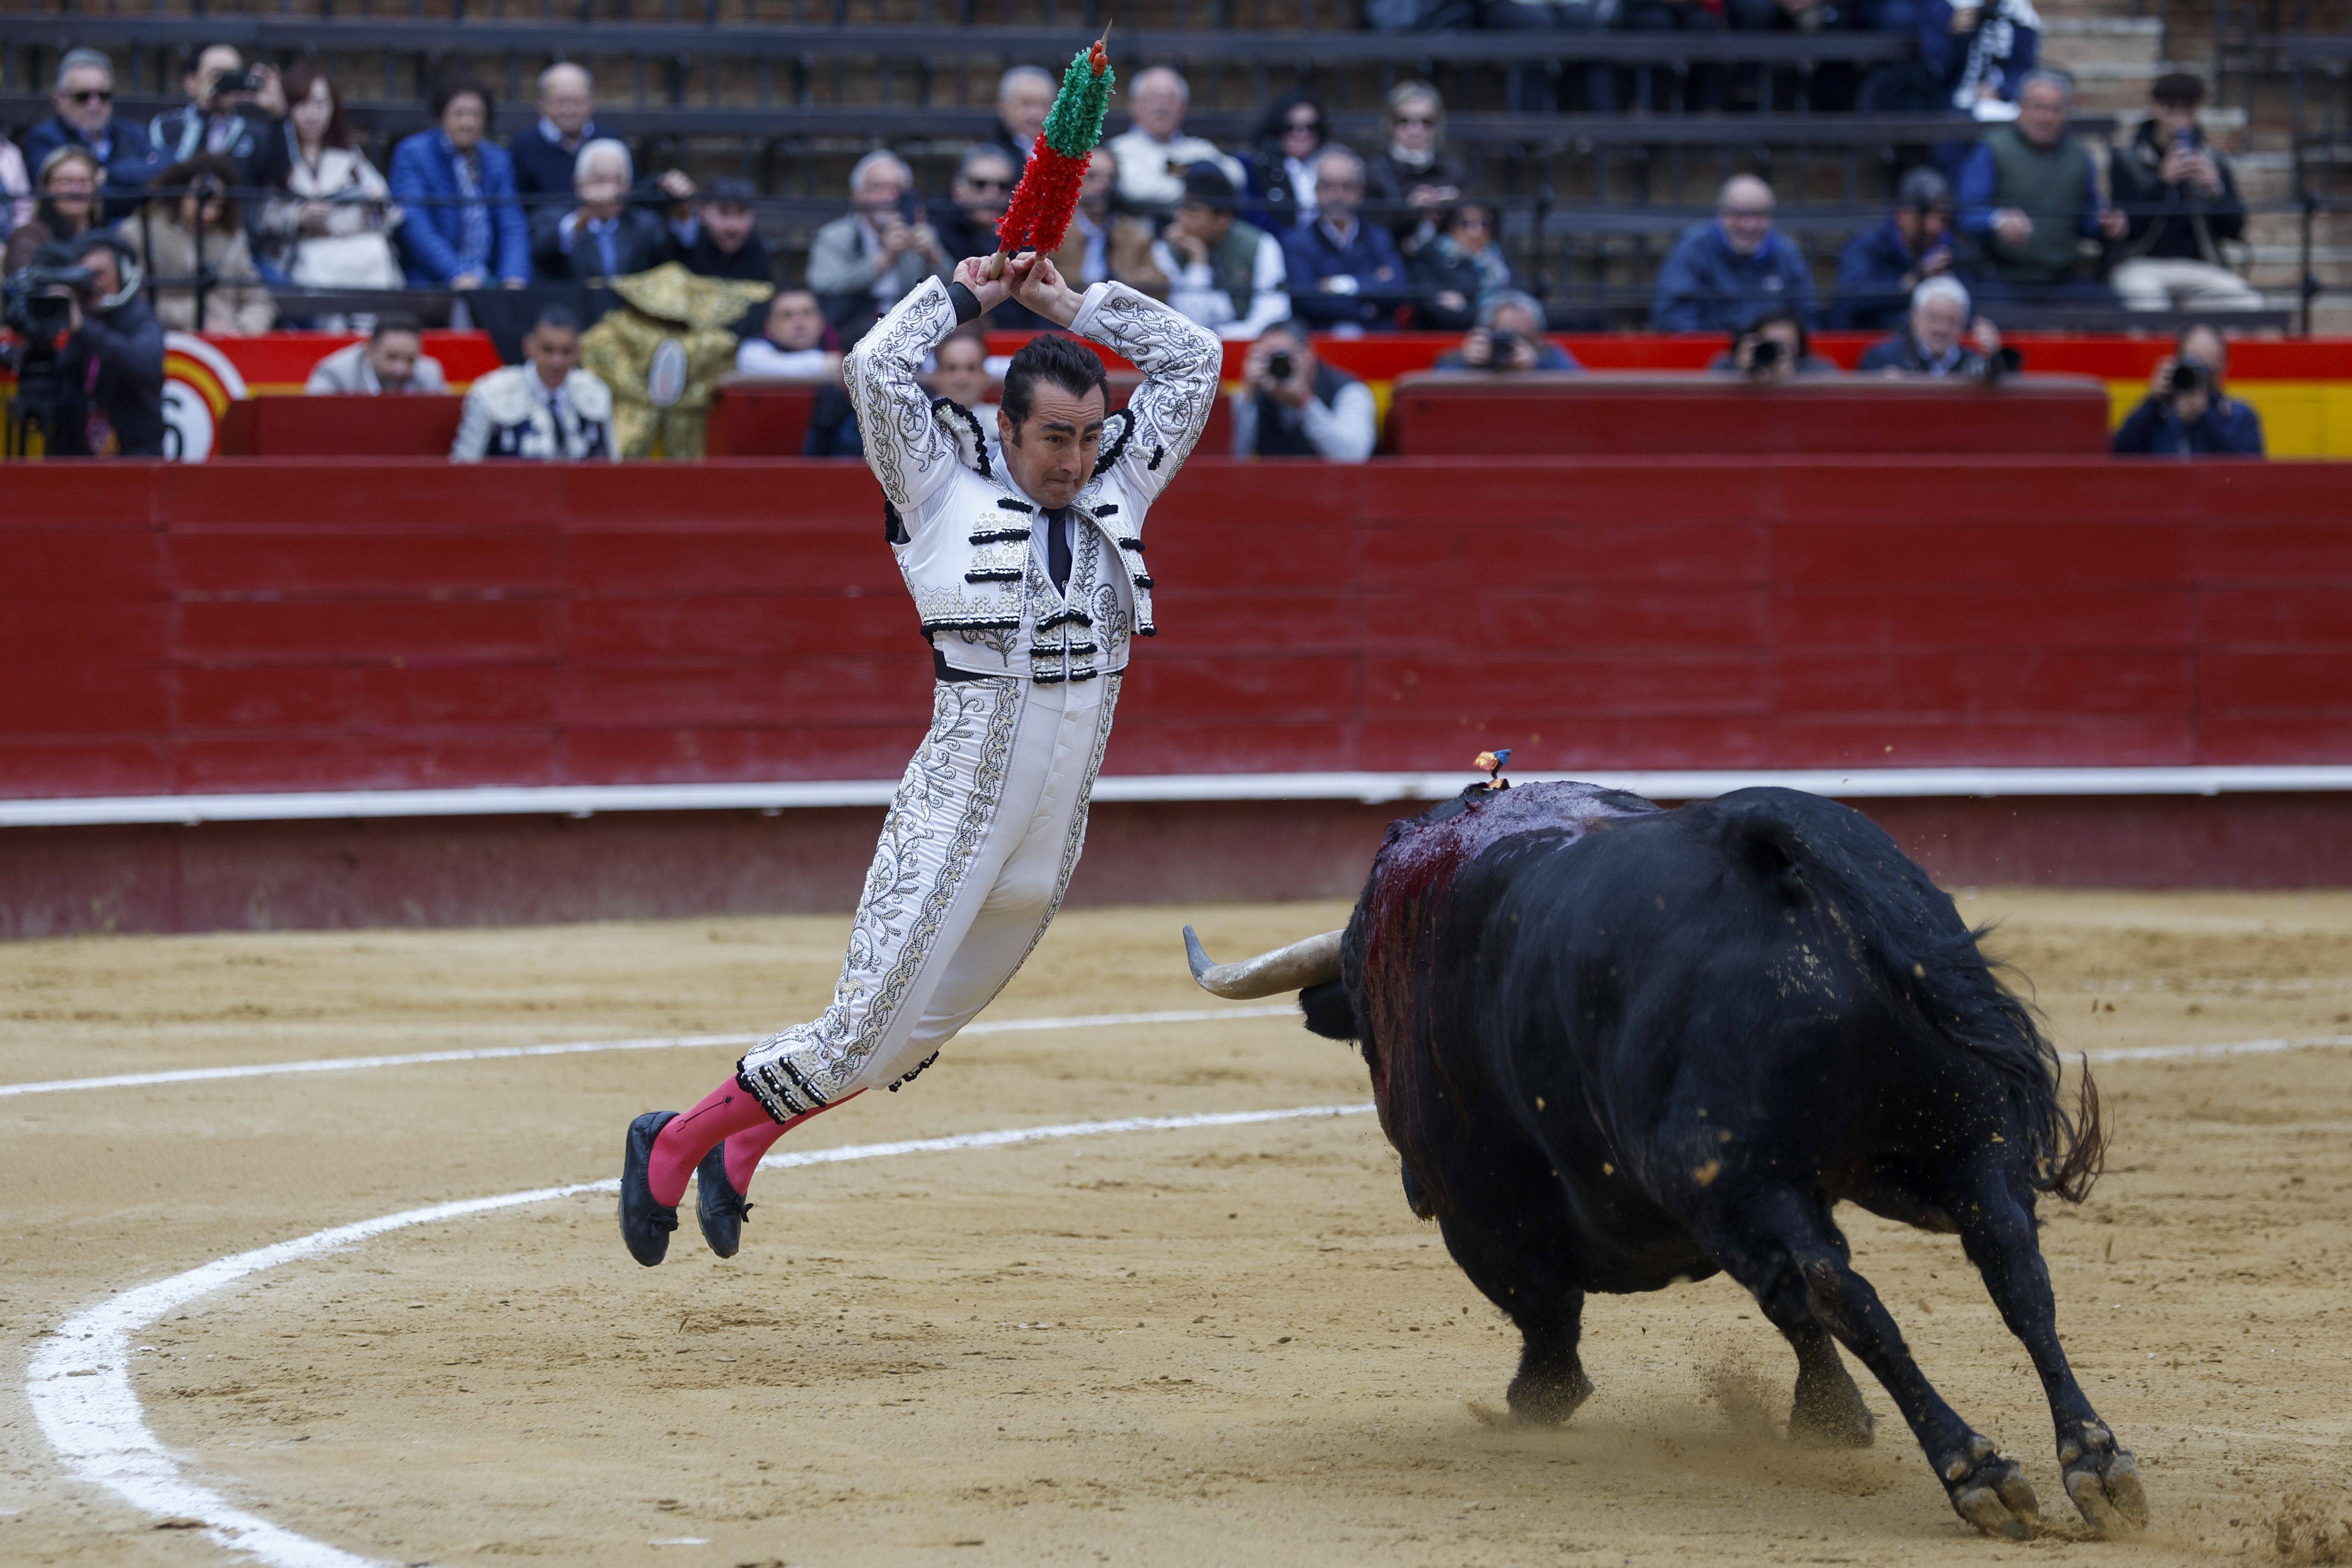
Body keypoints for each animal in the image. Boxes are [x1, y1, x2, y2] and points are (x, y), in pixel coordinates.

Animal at [1185, 780, 2145, 1542]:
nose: (1411, 1190)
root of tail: (1764, 855)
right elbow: (1793, 1303)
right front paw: (1831, 1422)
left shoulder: (1490, 1212)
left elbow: (1548, 1311)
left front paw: (1537, 1400)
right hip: (1964, 1137)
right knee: (2011, 1264)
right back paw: (2095, 1464)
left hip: (1737, 1178)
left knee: (1848, 1293)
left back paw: (1974, 1471)